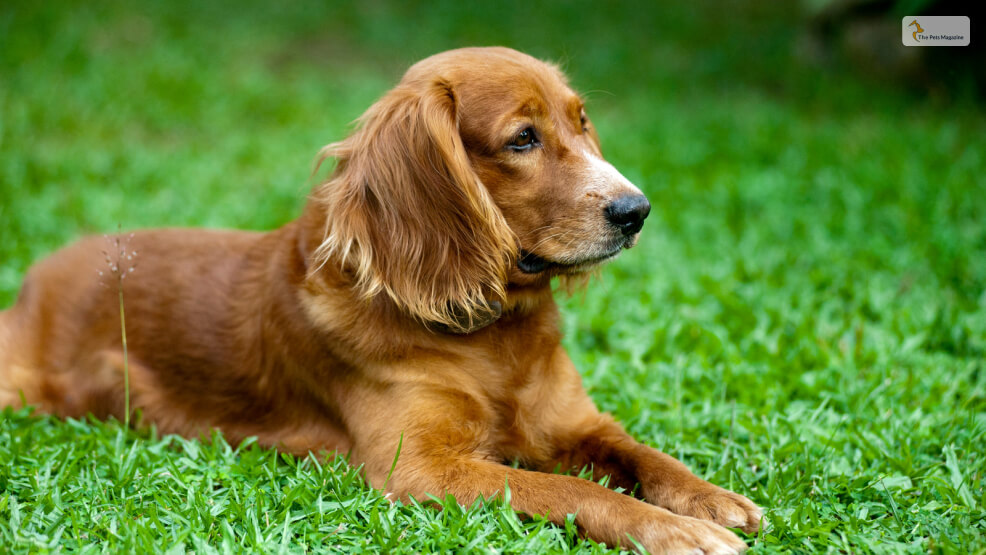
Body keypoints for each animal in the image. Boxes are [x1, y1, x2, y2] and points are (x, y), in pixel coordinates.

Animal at [0, 48, 760, 555]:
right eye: (523, 138)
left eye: (581, 123)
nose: (636, 210)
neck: (492, 333)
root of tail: (40, 274)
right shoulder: (420, 468)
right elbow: (574, 490)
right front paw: (674, 530)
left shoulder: (576, 422)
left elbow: (645, 454)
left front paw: (710, 500)